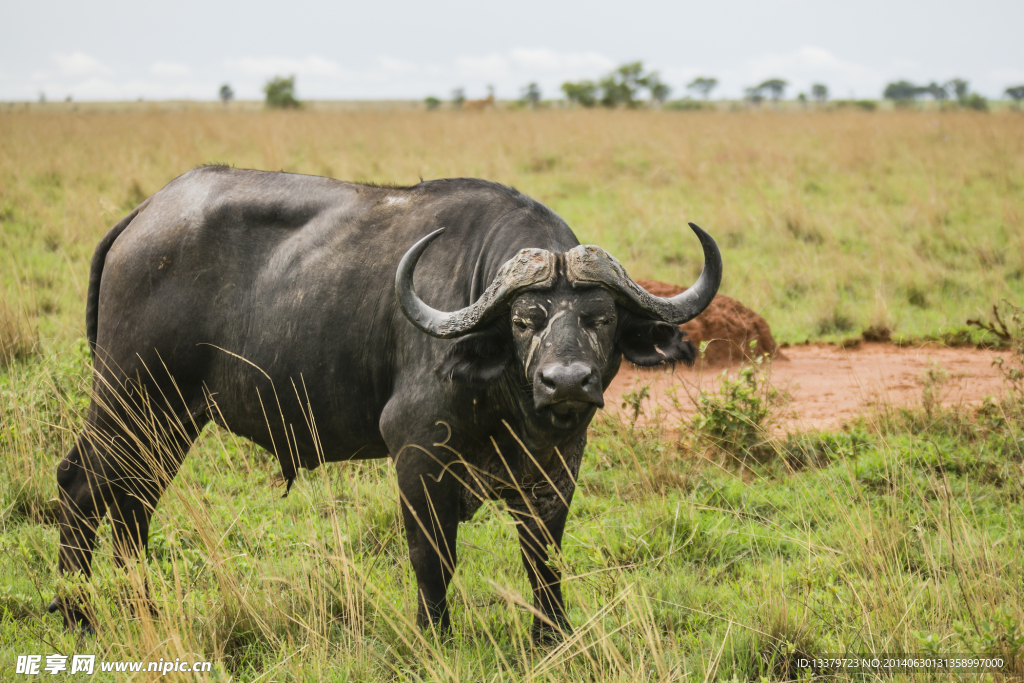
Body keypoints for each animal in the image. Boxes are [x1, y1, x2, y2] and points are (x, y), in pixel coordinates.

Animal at [48, 166, 720, 643]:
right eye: (525, 320)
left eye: (600, 317)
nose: (567, 383)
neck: (508, 401)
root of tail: (145, 214)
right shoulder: (417, 454)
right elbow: (432, 555)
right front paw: (435, 636)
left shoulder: (556, 466)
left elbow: (543, 556)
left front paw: (551, 637)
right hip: (129, 396)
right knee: (81, 484)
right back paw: (78, 614)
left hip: (169, 417)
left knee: (136, 498)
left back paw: (143, 605)